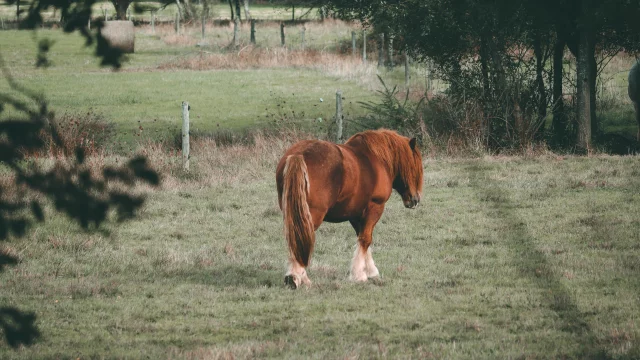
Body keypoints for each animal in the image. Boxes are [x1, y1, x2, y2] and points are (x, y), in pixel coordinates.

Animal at [276, 129, 422, 290]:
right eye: (414, 166)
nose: (415, 200)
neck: (376, 159)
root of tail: (299, 155)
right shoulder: (374, 207)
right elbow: (366, 239)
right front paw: (359, 275)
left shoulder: (355, 214)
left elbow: (362, 237)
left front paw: (369, 271)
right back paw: (296, 278)